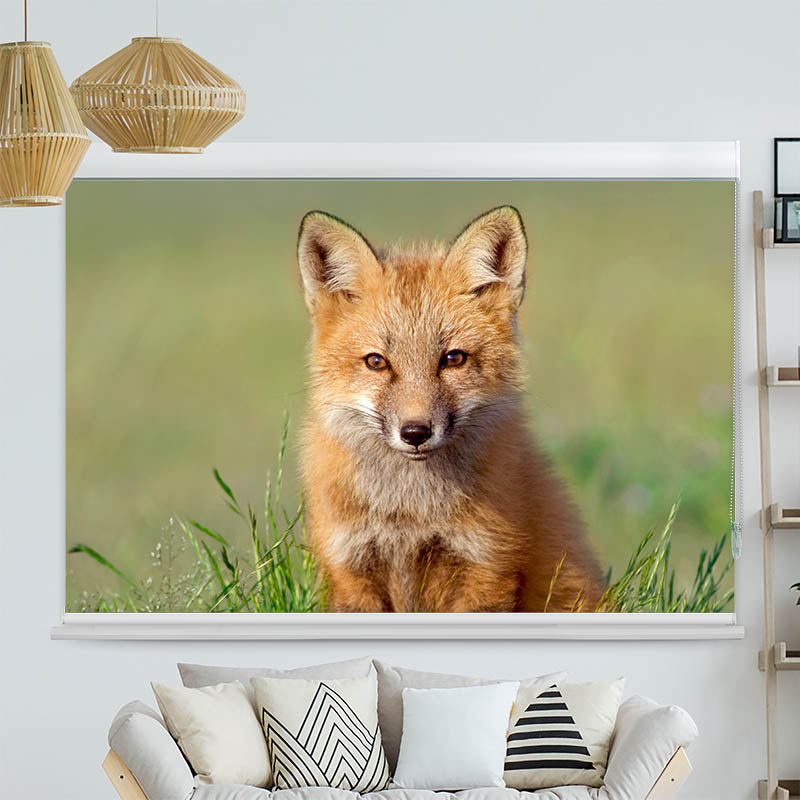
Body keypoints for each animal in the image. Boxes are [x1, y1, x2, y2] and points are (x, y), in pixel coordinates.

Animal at [296, 205, 604, 613]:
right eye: (376, 362)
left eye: (453, 359)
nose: (415, 432)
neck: (410, 513)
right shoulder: (349, 568)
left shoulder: (487, 563)